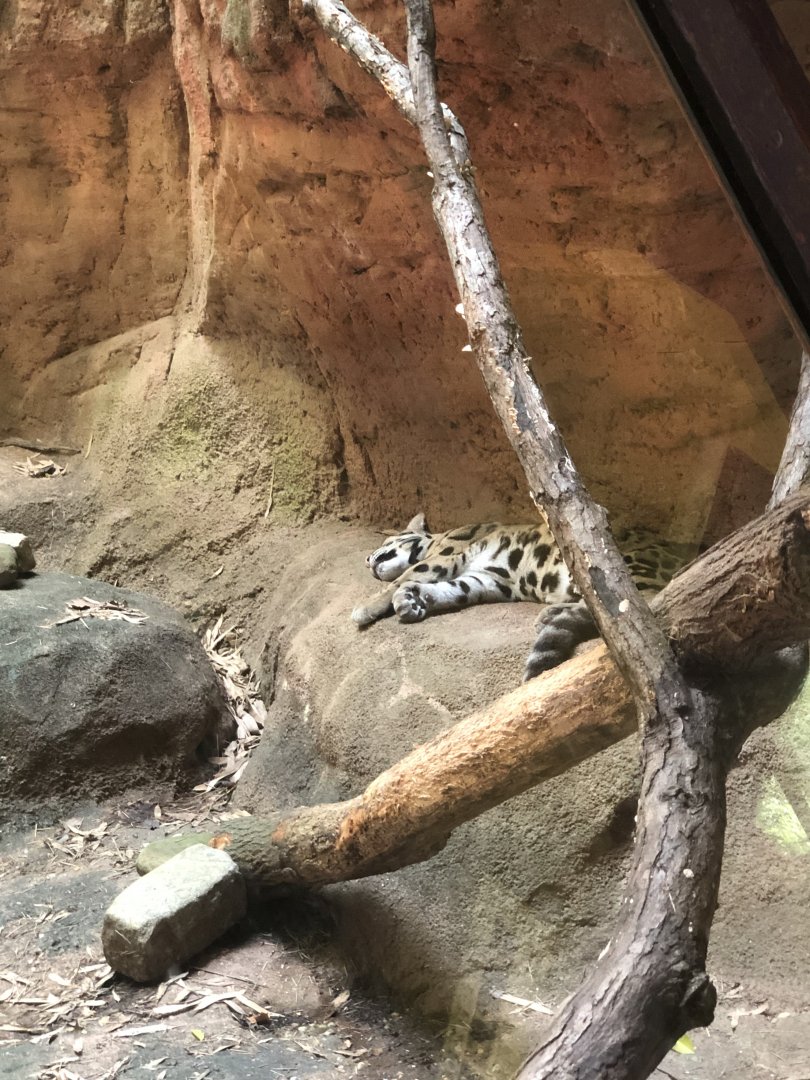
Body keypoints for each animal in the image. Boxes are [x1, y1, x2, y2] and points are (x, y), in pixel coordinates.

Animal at [351, 513, 694, 680]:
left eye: (387, 541)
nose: (366, 560)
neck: (435, 539)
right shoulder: (485, 579)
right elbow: (451, 591)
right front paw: (412, 599)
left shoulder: (447, 555)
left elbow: (400, 578)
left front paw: (367, 608)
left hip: (617, 561)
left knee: (631, 603)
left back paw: (551, 615)